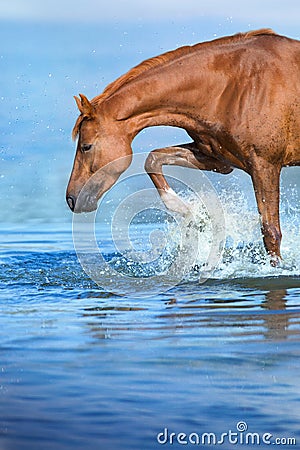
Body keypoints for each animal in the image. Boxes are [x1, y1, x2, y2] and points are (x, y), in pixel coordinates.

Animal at [67, 29, 298, 268]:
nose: (72, 199)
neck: (233, 88)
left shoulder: (264, 165)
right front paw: (188, 213)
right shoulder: (219, 160)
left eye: (86, 146)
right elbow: (153, 159)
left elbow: (271, 232)